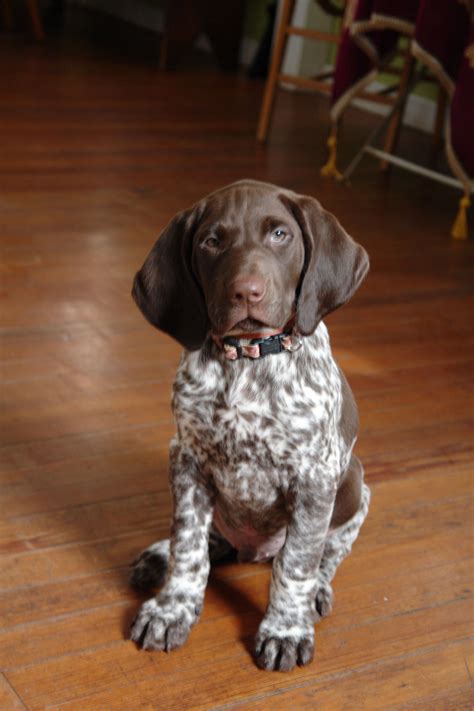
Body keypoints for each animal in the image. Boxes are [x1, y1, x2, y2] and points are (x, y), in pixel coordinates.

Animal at [129, 179, 370, 672]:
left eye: (280, 235)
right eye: (210, 242)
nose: (247, 293)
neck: (248, 359)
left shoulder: (315, 479)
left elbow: (296, 562)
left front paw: (286, 628)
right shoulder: (187, 459)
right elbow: (188, 545)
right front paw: (172, 608)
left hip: (355, 484)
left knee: (329, 550)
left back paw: (319, 589)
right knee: (208, 540)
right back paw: (160, 557)